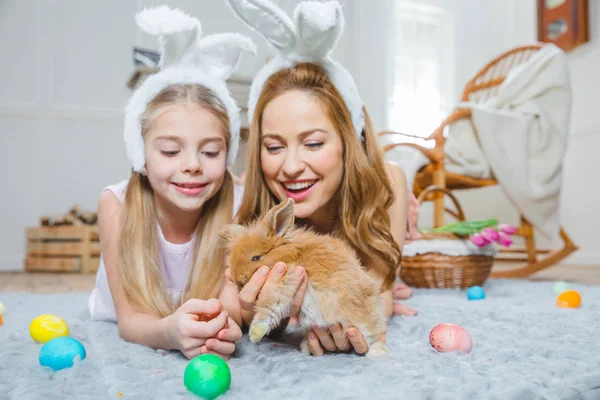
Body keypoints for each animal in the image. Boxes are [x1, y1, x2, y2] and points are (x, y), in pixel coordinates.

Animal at [220, 197, 390, 356]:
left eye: (256, 258)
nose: (238, 280)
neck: (291, 255)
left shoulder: (285, 279)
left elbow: (269, 306)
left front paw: (255, 334)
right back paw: (305, 347)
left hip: (361, 320)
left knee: (373, 337)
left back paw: (378, 354)